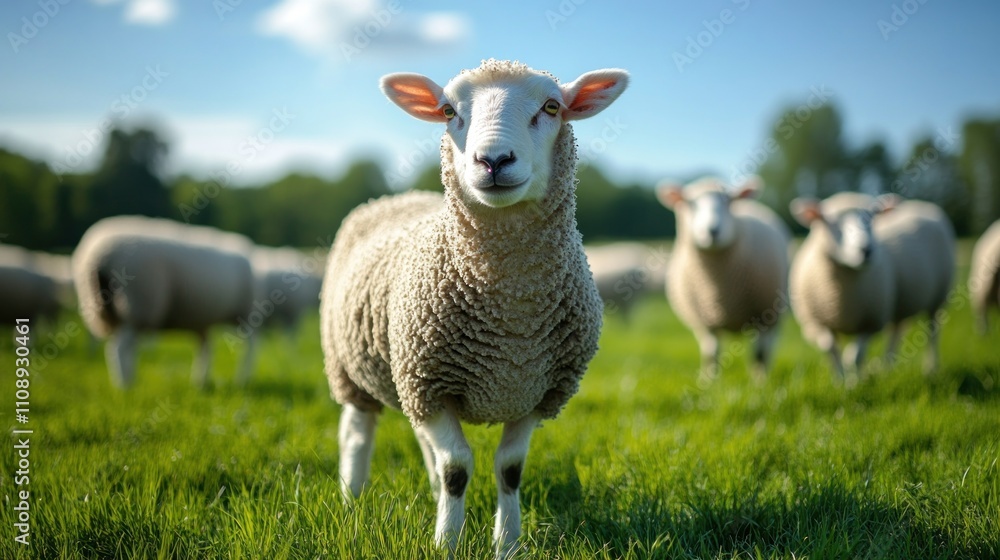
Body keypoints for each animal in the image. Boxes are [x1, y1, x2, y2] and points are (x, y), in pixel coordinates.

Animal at [73, 216, 258, 388]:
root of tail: (100, 259)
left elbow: (206, 350)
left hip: (113, 308)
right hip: (137, 305)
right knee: (120, 349)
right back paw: (126, 386)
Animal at [320, 59, 628, 558]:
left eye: (552, 107)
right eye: (449, 111)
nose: (494, 160)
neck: (510, 317)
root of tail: (396, 197)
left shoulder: (536, 392)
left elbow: (509, 468)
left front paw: (507, 543)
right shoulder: (431, 383)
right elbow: (458, 469)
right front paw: (447, 542)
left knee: (423, 442)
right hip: (354, 368)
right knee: (357, 433)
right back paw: (352, 500)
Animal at [656, 176, 791, 380]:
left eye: (729, 202)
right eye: (690, 203)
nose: (712, 231)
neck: (718, 288)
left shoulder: (764, 312)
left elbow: (760, 353)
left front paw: (759, 381)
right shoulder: (706, 319)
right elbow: (711, 352)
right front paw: (710, 380)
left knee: (768, 346)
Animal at [875, 199, 955, 372]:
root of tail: (921, 204)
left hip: (937, 299)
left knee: (932, 331)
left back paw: (931, 367)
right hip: (900, 306)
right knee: (895, 331)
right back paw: (888, 367)